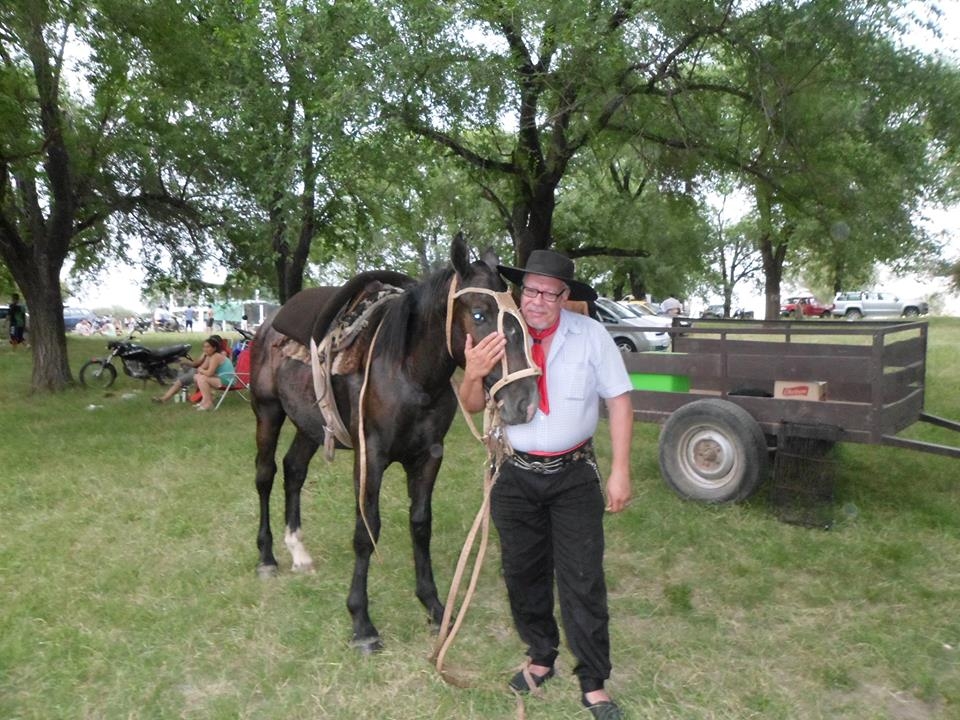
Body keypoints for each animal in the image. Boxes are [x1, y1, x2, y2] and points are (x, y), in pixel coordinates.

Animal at [249, 235, 540, 652]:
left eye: (520, 314)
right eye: (480, 315)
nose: (524, 401)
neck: (409, 372)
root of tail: (266, 327)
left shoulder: (429, 456)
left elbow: (420, 523)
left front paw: (434, 606)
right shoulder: (370, 457)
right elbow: (366, 530)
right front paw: (362, 622)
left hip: (310, 425)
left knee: (294, 470)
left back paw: (298, 551)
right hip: (268, 413)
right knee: (266, 474)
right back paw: (267, 557)